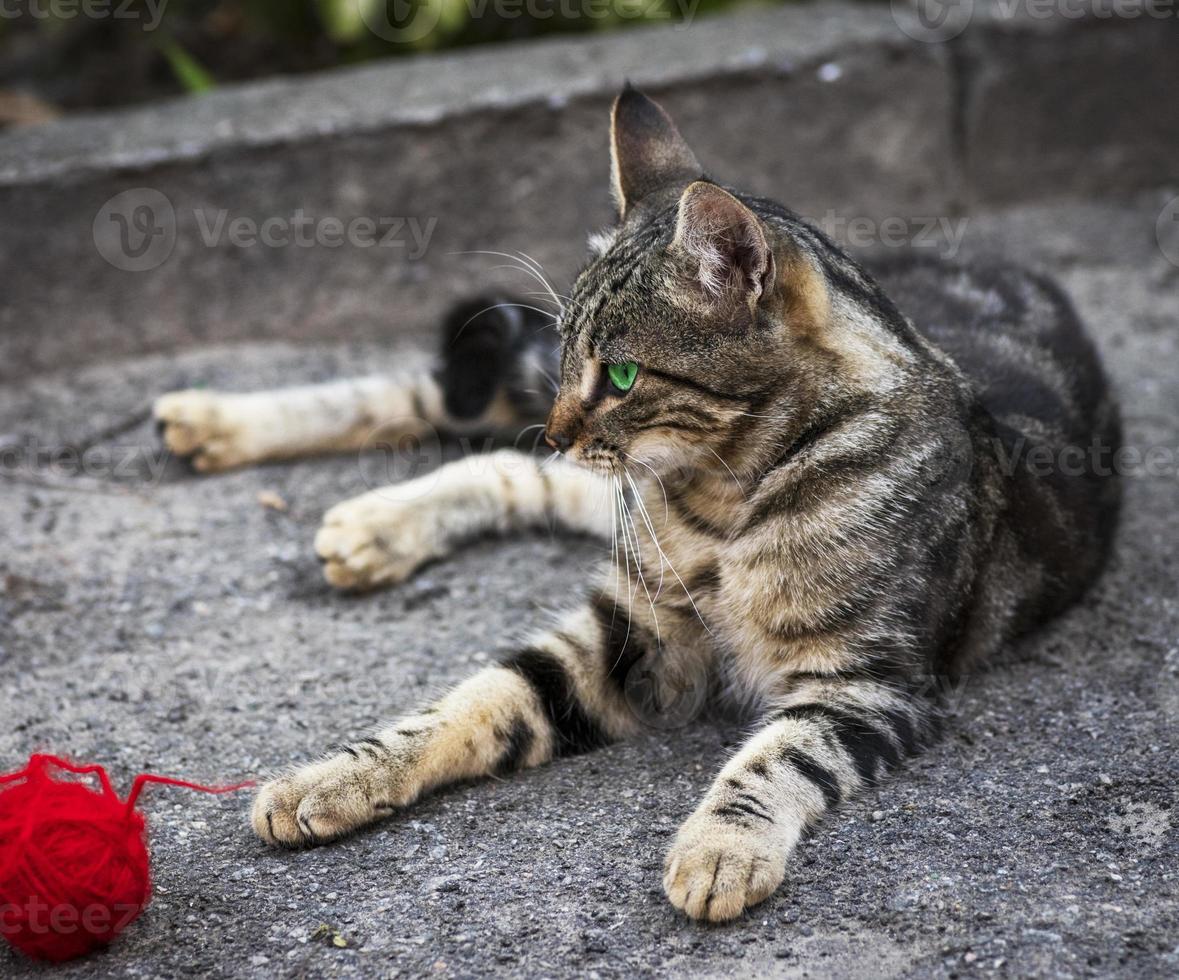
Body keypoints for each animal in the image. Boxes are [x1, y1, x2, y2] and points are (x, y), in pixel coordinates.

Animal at [152, 88, 1117, 924]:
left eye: (619, 374)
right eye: (571, 352)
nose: (558, 427)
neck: (723, 497)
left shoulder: (867, 684)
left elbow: (777, 758)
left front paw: (721, 850)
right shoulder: (631, 632)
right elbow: (471, 700)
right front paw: (332, 776)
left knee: (512, 468)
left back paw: (367, 519)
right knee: (466, 423)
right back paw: (226, 429)